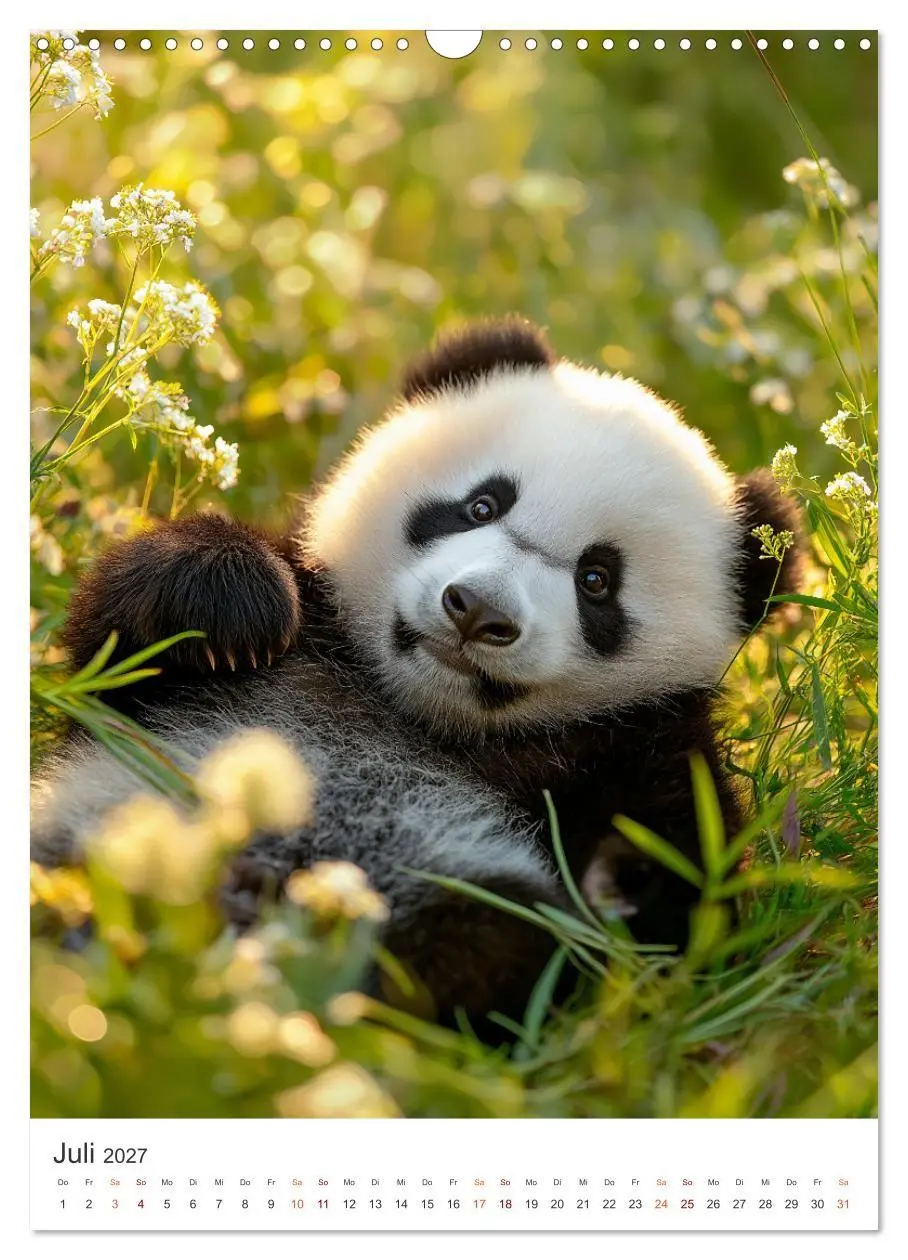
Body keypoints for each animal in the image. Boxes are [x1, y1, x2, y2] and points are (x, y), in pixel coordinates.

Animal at [31, 317, 801, 1026]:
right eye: (481, 504)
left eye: (597, 581)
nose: (477, 611)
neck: (415, 714)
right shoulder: (256, 663)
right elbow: (108, 660)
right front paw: (228, 603)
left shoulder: (634, 743)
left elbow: (691, 914)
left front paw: (621, 880)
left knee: (489, 940)